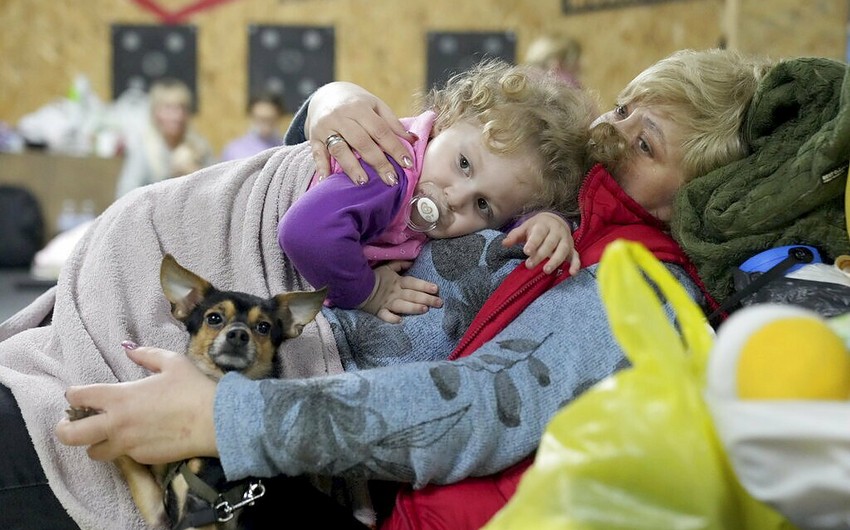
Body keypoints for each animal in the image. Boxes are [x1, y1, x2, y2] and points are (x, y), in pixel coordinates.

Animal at [65, 254, 324, 524]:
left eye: (263, 327)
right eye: (214, 318)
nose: (238, 334)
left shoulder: (203, 515)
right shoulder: (159, 512)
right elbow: (132, 467)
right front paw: (87, 415)